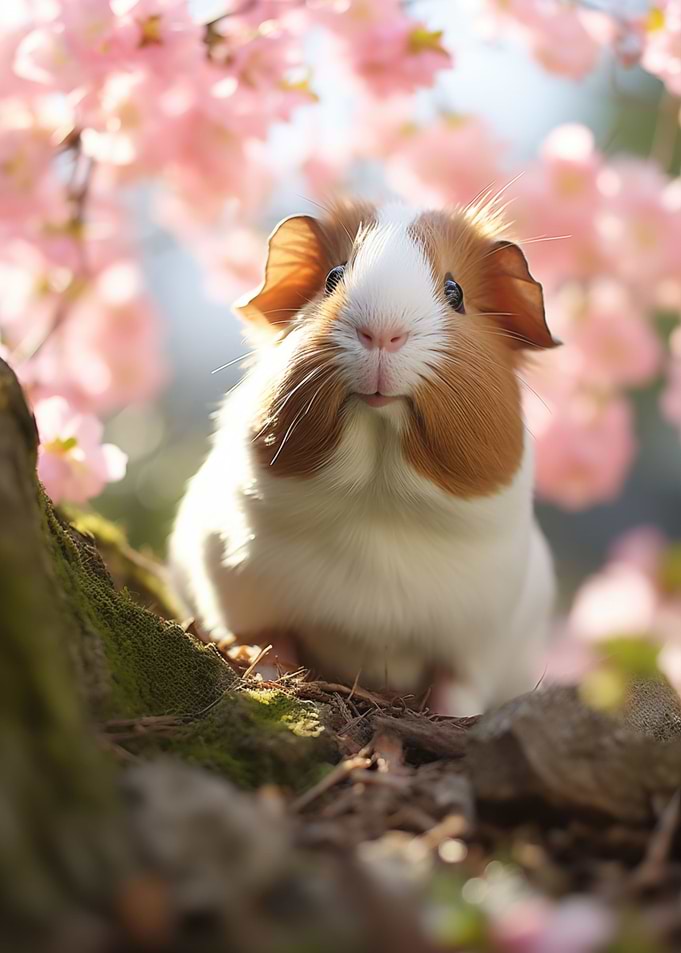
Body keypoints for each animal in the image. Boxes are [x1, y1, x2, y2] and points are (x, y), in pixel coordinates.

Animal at [168, 198, 558, 716]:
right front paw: (271, 679)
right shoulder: (240, 592)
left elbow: (456, 693)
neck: (377, 495)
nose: (381, 333)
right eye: (333, 277)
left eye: (455, 293)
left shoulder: (476, 649)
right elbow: (271, 645)